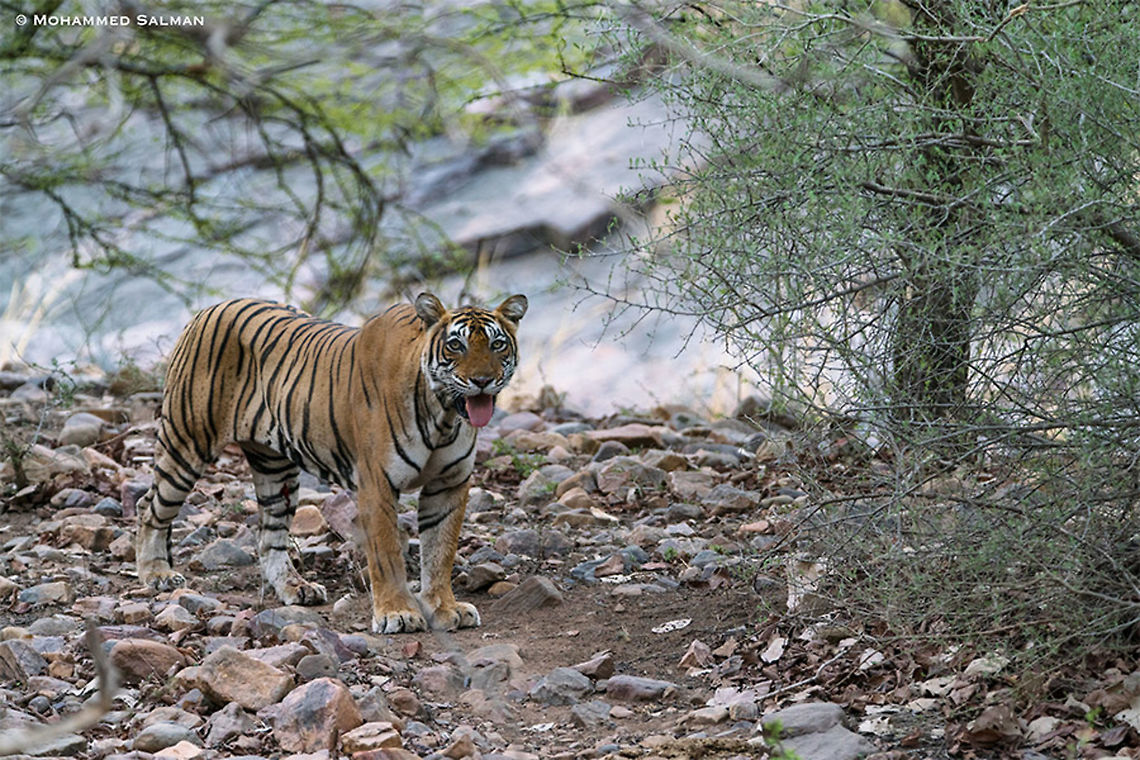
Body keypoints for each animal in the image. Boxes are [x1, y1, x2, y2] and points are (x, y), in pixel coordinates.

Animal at [134, 292, 527, 633]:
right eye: (455, 345)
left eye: (497, 345)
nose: (482, 381)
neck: (443, 414)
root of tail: (210, 307)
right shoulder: (378, 483)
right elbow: (387, 554)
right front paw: (397, 614)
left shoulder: (450, 483)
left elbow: (440, 552)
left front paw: (444, 608)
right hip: (187, 440)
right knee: (149, 508)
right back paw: (156, 574)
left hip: (275, 469)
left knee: (269, 535)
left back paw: (296, 588)